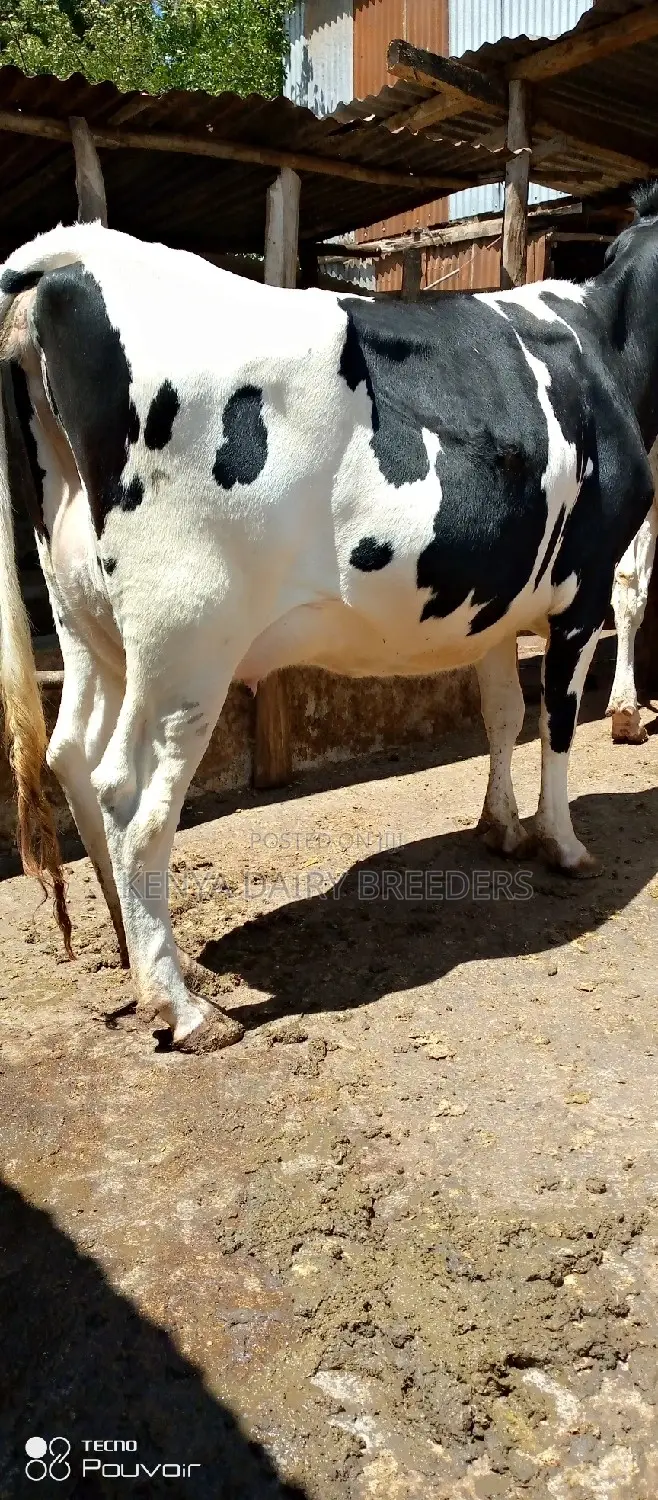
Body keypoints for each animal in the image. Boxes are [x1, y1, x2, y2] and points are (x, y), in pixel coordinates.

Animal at [0, 183, 655, 1052]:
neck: (607, 339)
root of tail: (80, 254)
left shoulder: (497, 597)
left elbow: (501, 712)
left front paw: (502, 827)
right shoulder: (585, 586)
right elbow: (554, 722)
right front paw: (565, 844)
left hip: (83, 615)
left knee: (72, 752)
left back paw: (139, 950)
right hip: (187, 638)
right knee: (129, 793)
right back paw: (181, 1006)